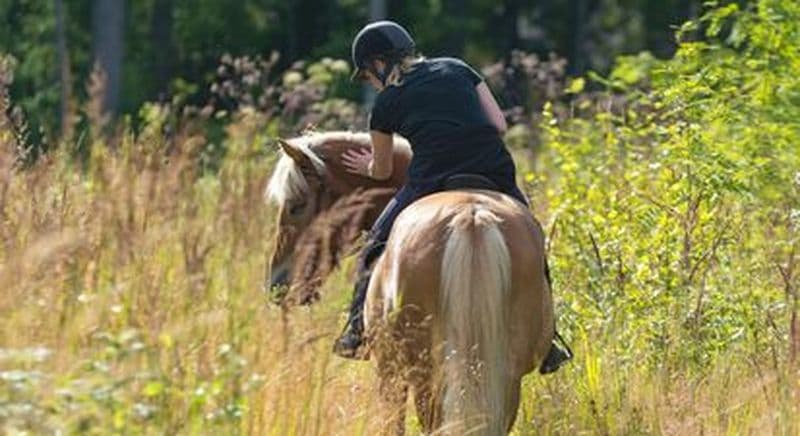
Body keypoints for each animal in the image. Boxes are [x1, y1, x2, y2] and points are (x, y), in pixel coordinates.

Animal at [265, 131, 554, 434]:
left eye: (296, 206)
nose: (278, 284)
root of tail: (471, 217)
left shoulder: (390, 372)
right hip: (504, 376)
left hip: (425, 375)